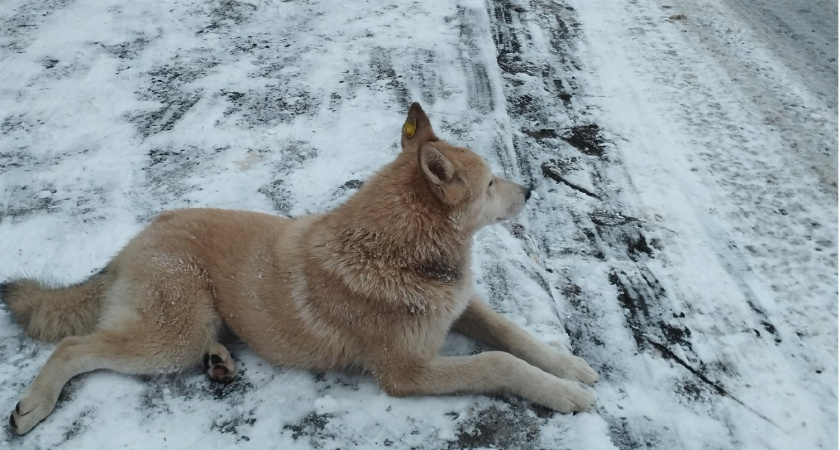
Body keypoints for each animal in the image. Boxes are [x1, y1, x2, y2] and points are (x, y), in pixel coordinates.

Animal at [1, 103, 596, 434]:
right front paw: (564, 394)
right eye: (492, 183)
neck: (396, 250)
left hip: (190, 324)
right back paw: (35, 405)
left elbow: (510, 333)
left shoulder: (461, 304)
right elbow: (498, 362)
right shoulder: (406, 374)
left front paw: (568, 366)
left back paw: (219, 361)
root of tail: (134, 241)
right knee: (74, 347)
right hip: (168, 336)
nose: (531, 190)